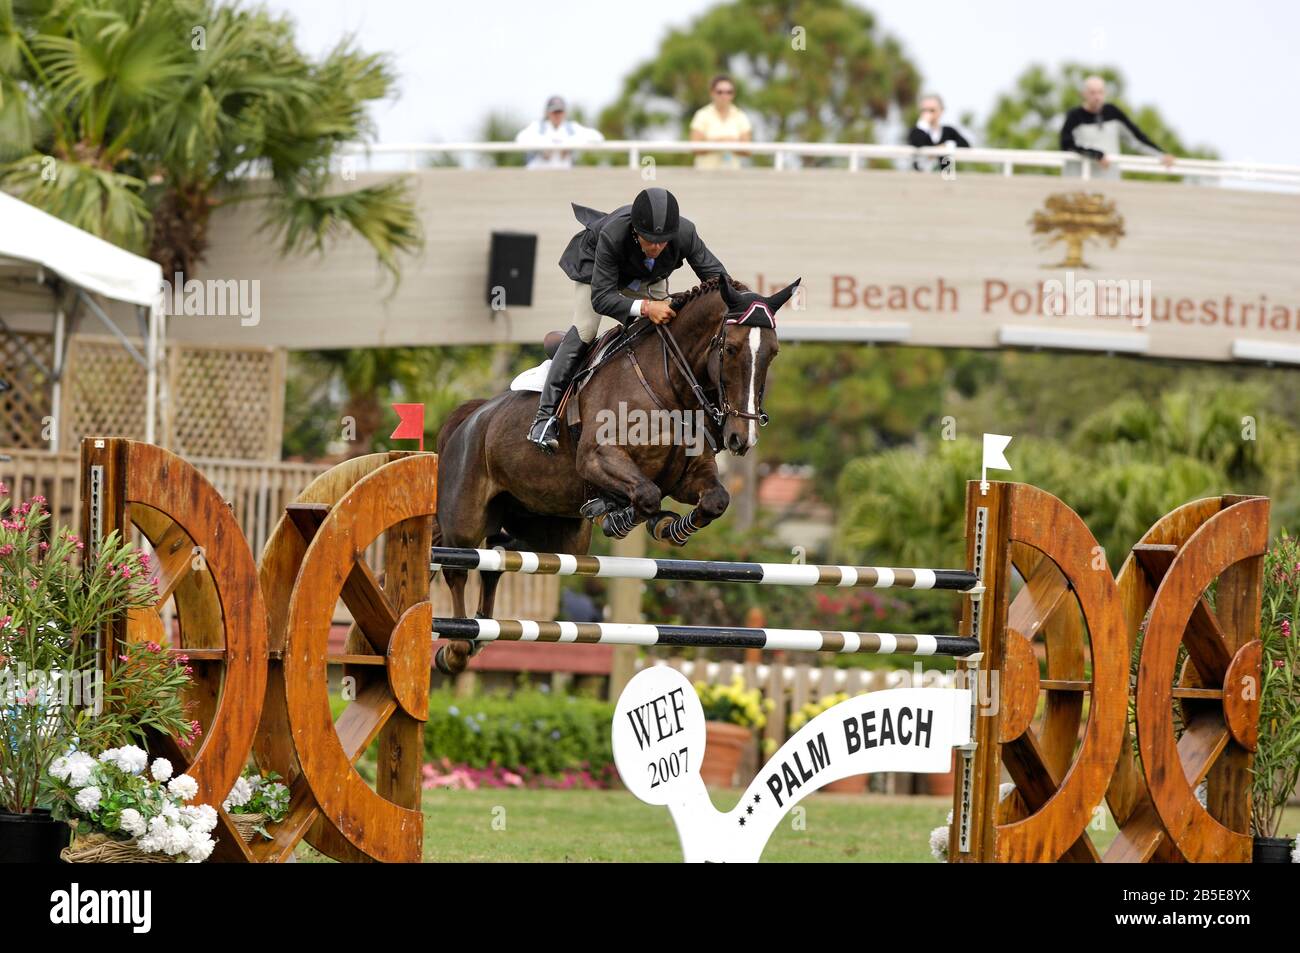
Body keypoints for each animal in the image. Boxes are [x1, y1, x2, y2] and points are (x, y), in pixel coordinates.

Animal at [434, 273, 800, 676]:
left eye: (773, 352)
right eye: (731, 349)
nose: (741, 438)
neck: (670, 386)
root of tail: (472, 415)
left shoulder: (689, 476)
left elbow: (714, 500)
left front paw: (669, 527)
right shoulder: (598, 459)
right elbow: (646, 494)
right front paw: (621, 518)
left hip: (555, 533)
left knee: (499, 554)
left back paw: (481, 631)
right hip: (466, 518)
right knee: (458, 566)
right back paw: (456, 649)